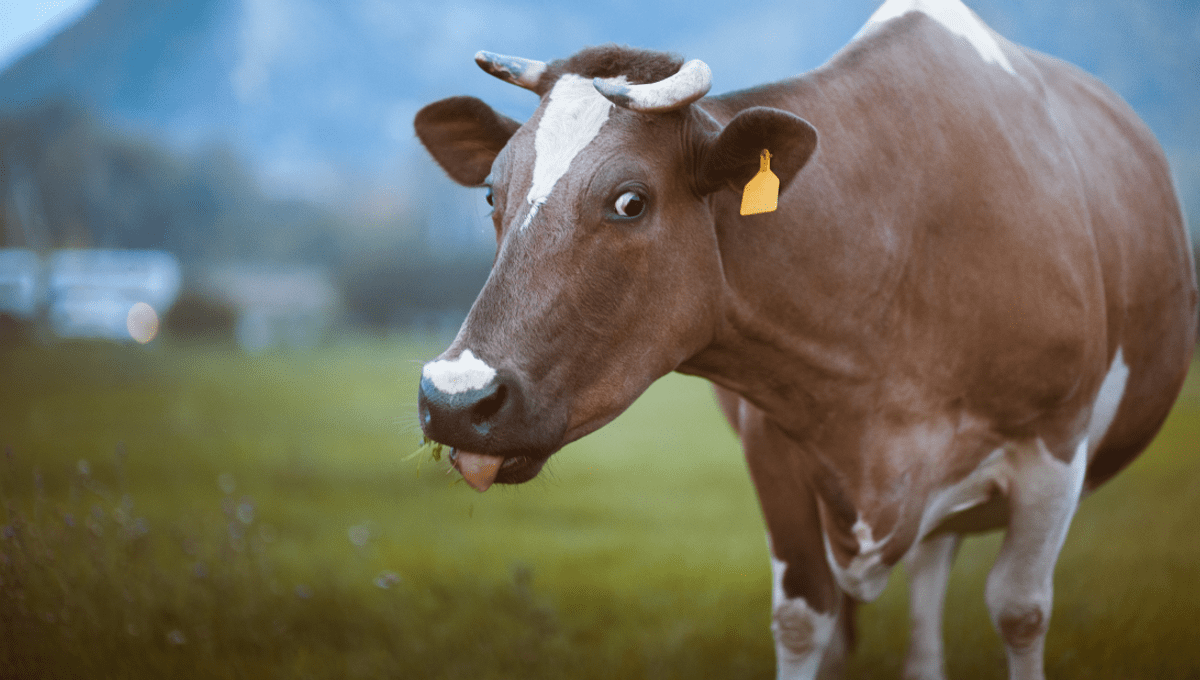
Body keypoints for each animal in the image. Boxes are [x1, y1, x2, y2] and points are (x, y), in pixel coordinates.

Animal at [412, 0, 1197, 678]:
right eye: (492, 194)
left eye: (629, 200)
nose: (454, 397)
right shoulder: (774, 447)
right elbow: (803, 618)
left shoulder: (1054, 447)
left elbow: (1019, 610)